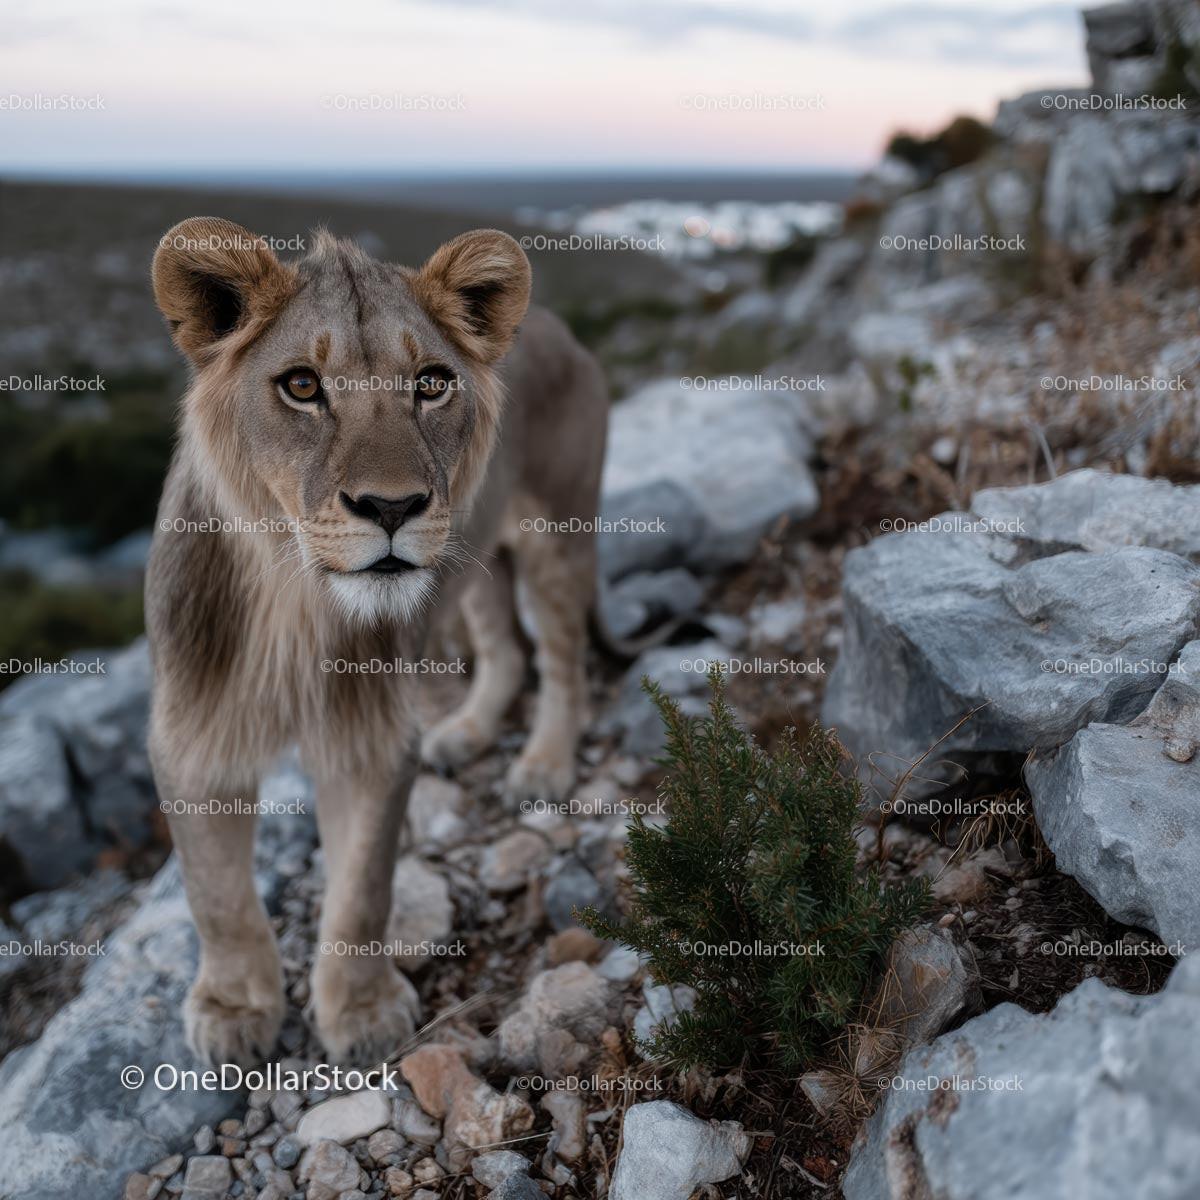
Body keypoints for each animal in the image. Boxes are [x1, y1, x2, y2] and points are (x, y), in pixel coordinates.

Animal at [146, 217, 607, 1065]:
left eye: (430, 383)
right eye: (301, 386)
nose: (392, 507)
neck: (296, 595)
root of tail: (561, 329)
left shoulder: (371, 736)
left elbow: (362, 890)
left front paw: (362, 1015)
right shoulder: (193, 728)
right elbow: (215, 893)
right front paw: (234, 1009)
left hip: (557, 540)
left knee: (563, 664)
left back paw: (543, 763)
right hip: (475, 560)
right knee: (506, 649)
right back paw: (467, 731)